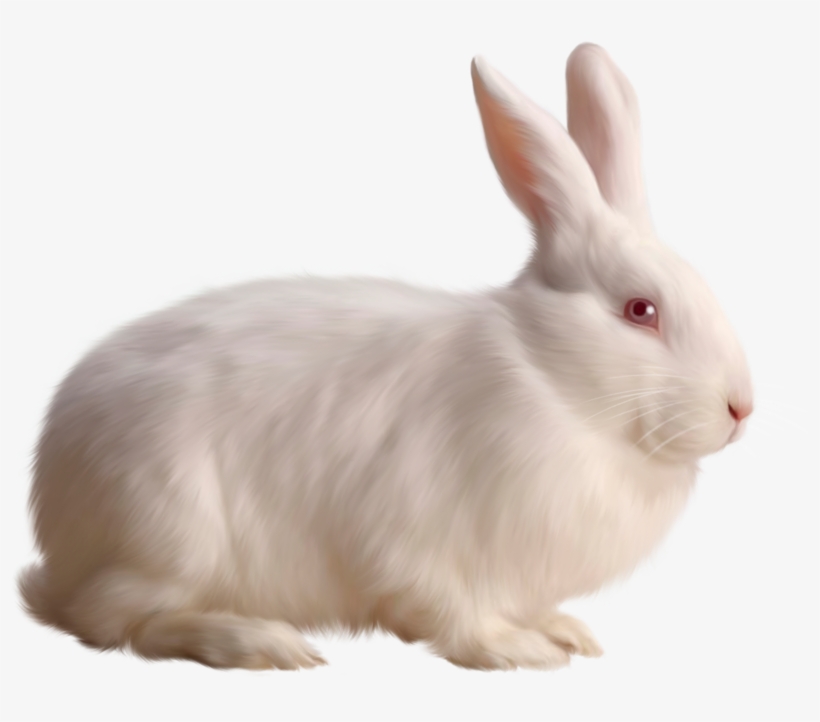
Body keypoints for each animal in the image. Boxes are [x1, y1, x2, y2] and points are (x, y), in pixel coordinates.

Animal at [18, 43, 752, 671]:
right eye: (641, 310)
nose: (741, 408)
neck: (552, 381)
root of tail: (56, 526)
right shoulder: (419, 539)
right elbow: (452, 612)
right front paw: (517, 650)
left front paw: (564, 630)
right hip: (172, 532)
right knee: (118, 621)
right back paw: (259, 641)